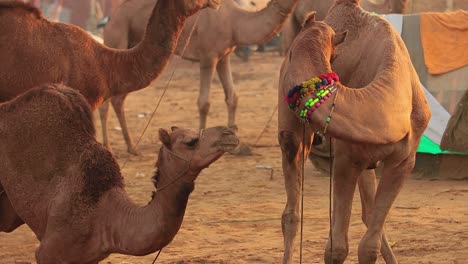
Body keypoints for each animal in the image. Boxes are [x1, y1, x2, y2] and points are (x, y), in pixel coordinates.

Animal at [99, 0, 300, 155]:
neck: (234, 21)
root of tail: (110, 20)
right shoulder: (208, 57)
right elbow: (204, 102)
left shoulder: (224, 56)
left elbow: (232, 97)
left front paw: (234, 141)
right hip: (117, 37)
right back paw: (110, 146)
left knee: (116, 99)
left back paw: (131, 147)